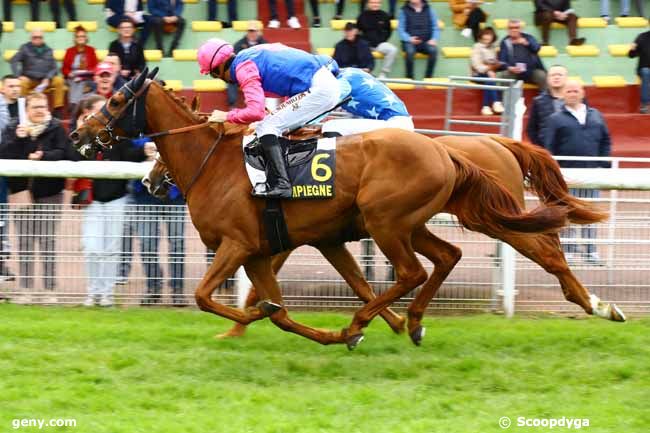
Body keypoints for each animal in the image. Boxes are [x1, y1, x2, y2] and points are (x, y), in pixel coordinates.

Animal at [69, 70, 576, 348]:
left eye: (116, 99)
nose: (77, 133)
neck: (214, 164)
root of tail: (446, 151)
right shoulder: (272, 249)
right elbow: (285, 311)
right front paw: (328, 331)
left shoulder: (239, 245)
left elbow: (206, 297)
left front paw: (252, 320)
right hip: (408, 223)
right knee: (447, 256)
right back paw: (407, 322)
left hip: (390, 222)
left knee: (419, 270)